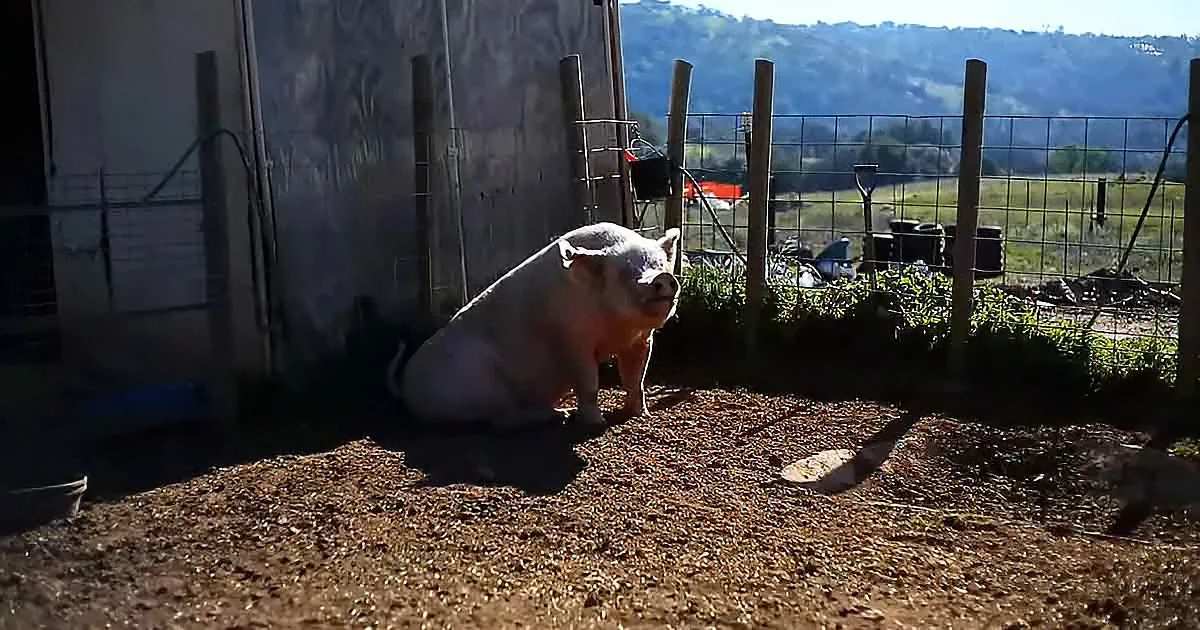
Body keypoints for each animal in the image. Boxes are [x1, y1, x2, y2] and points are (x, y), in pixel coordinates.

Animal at [386, 221, 682, 430]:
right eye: (625, 273)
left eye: (660, 263)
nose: (663, 278)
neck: (616, 328)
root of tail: (408, 388)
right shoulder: (572, 340)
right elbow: (588, 384)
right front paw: (596, 423)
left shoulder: (642, 340)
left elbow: (635, 378)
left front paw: (641, 414)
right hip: (480, 386)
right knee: (501, 421)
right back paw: (561, 415)